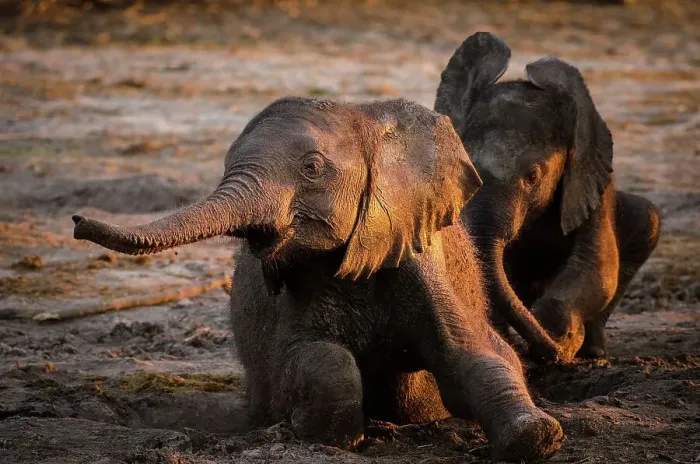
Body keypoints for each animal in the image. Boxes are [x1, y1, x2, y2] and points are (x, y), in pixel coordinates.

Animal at [71, 97, 564, 461]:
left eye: (311, 168)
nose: (76, 221)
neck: (366, 116)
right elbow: (313, 357)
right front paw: (329, 437)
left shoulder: (419, 256)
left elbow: (471, 352)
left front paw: (539, 437)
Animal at [434, 32, 661, 363]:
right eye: (469, 167)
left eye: (532, 177)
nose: (561, 348)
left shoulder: (590, 189)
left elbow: (597, 268)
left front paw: (561, 337)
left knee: (647, 220)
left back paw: (593, 353)